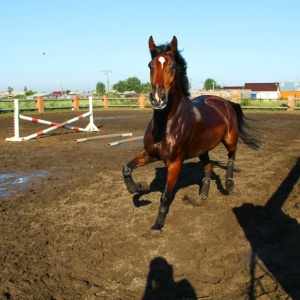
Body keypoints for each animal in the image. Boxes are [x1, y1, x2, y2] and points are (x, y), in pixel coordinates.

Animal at [122, 35, 260, 232]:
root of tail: (225, 102)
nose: (158, 99)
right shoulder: (151, 153)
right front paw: (138, 188)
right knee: (208, 168)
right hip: (203, 150)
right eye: (150, 65)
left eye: (173, 65)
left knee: (231, 157)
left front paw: (157, 225)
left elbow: (165, 195)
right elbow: (127, 168)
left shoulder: (175, 162)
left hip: (230, 139)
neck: (166, 124)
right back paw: (200, 198)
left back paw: (229, 184)